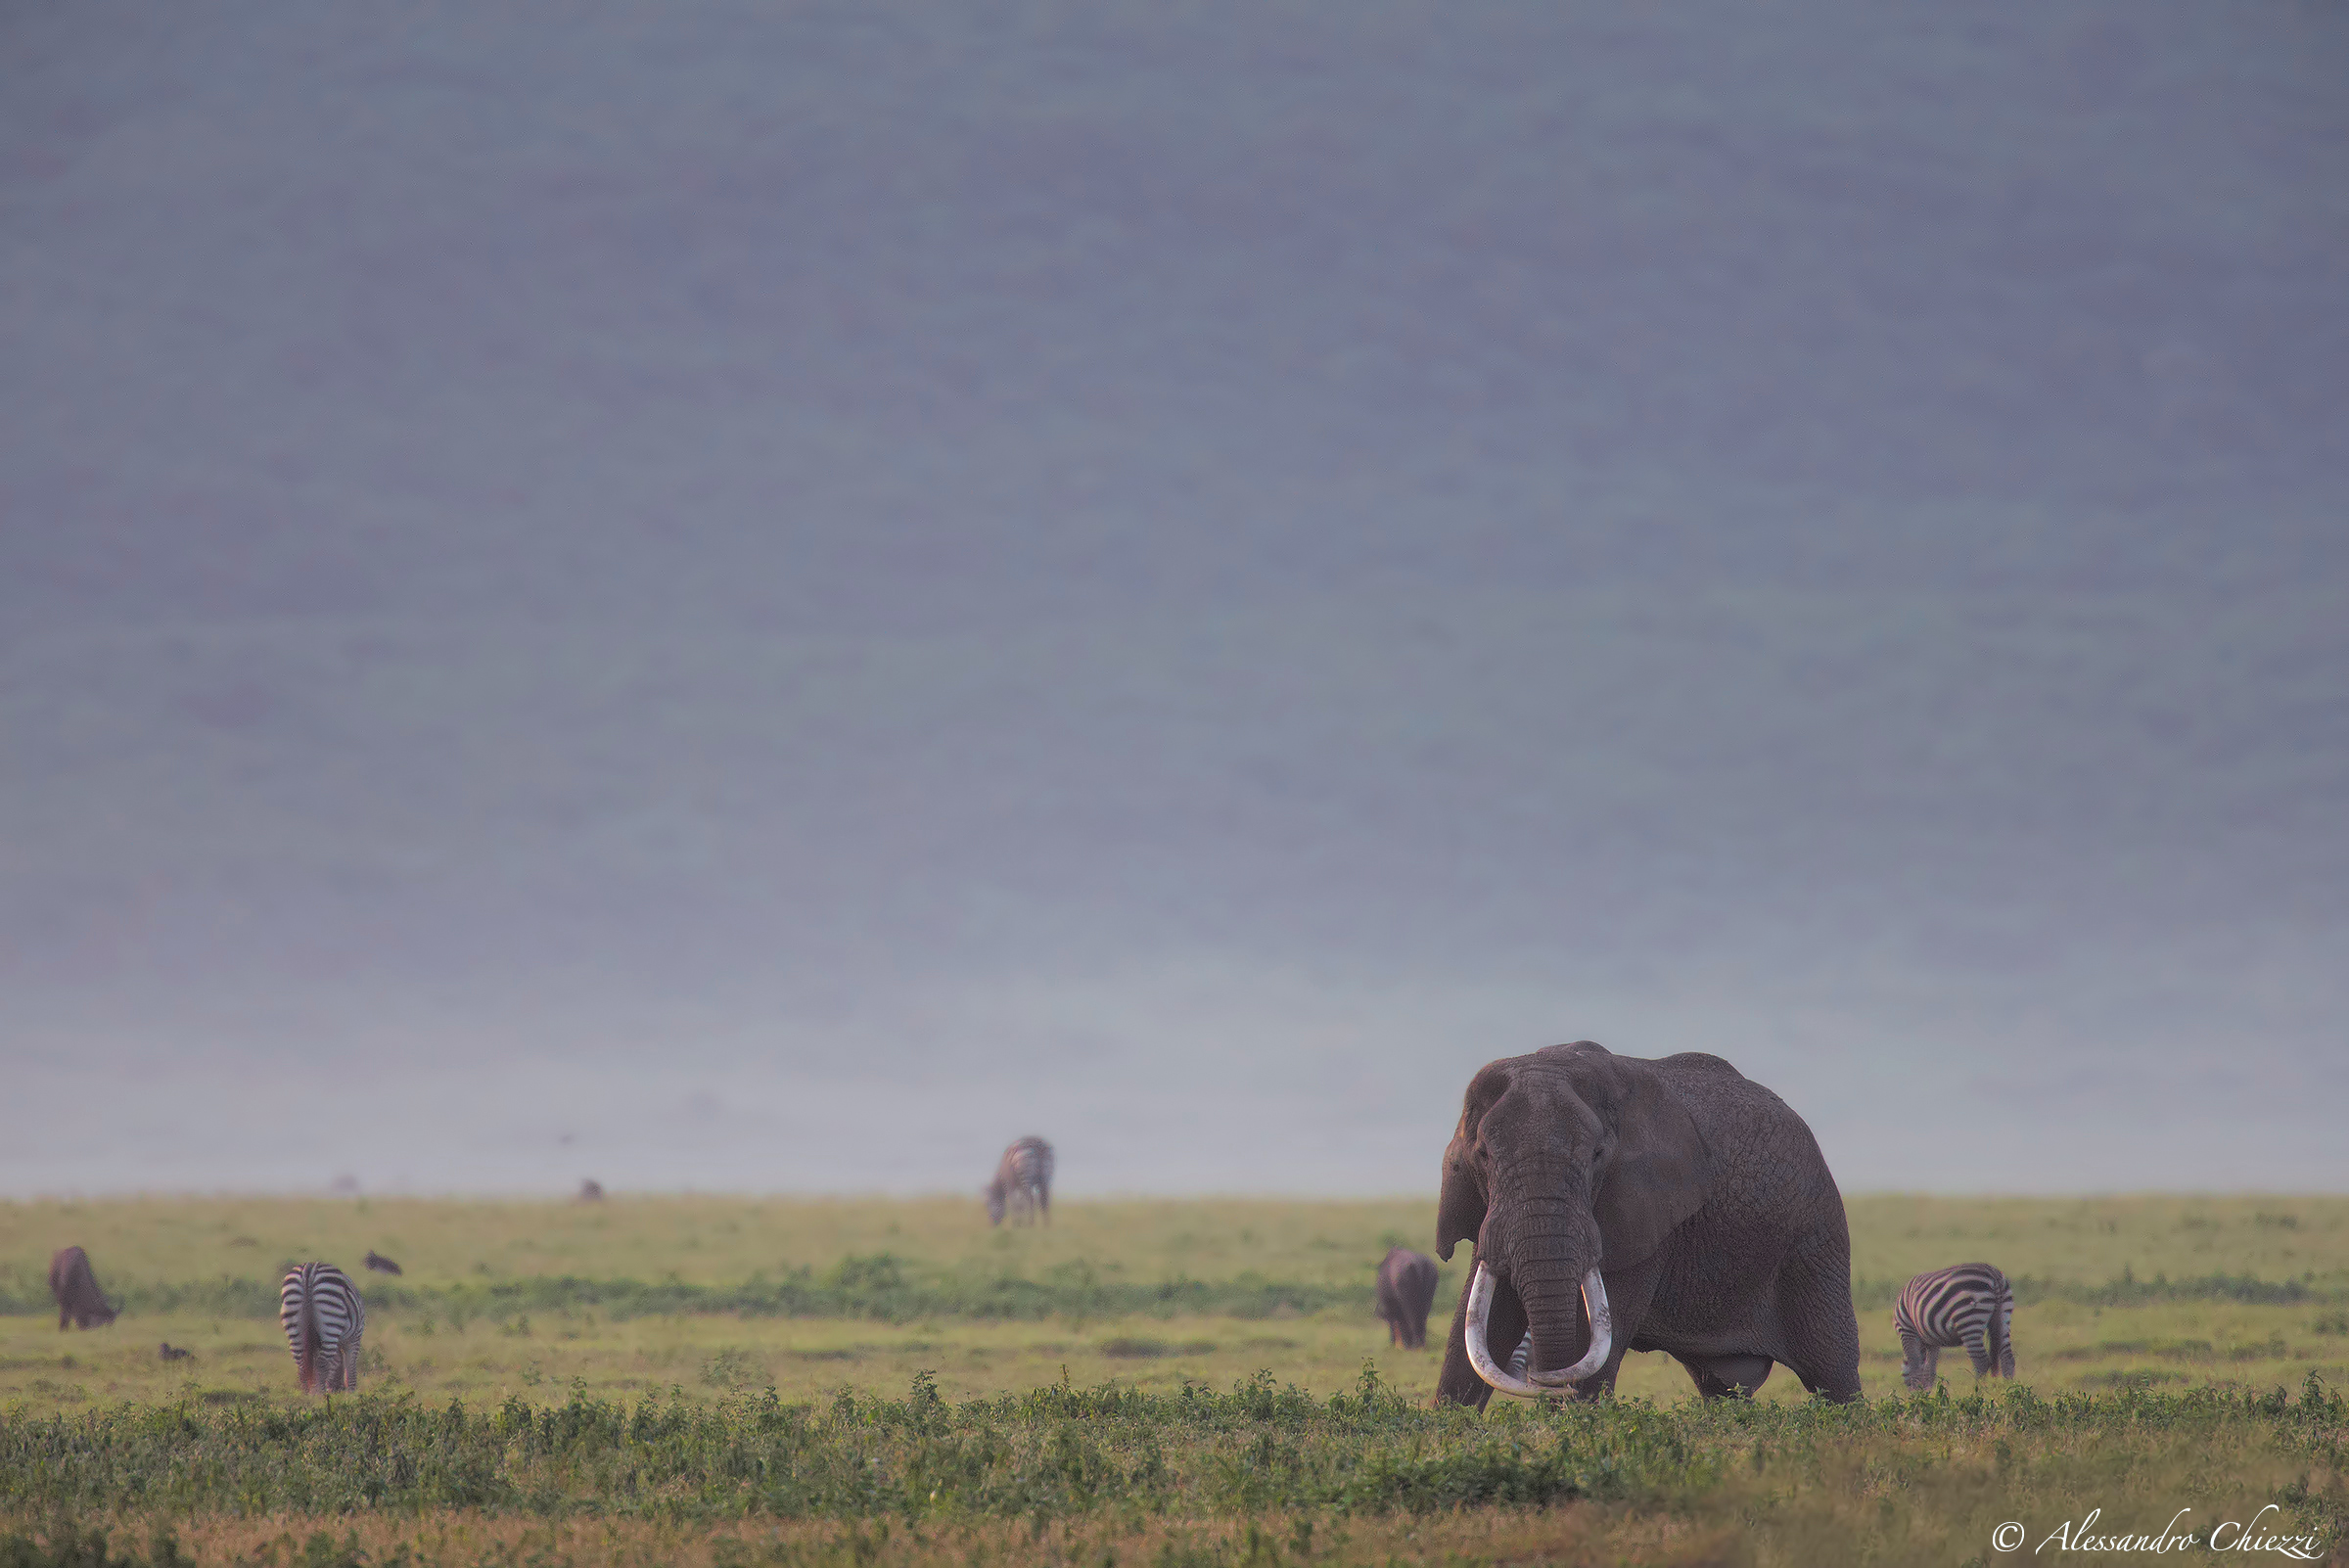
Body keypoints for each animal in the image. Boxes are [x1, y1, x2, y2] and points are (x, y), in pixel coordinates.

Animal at [1433, 1041, 1860, 1407]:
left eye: (1598, 1156)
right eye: (1483, 1155)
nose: (1544, 1382)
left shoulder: (1646, 1213)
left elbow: (1590, 1339)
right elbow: (1478, 1327)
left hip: (1815, 1237)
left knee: (1833, 1370)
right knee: (1721, 1388)